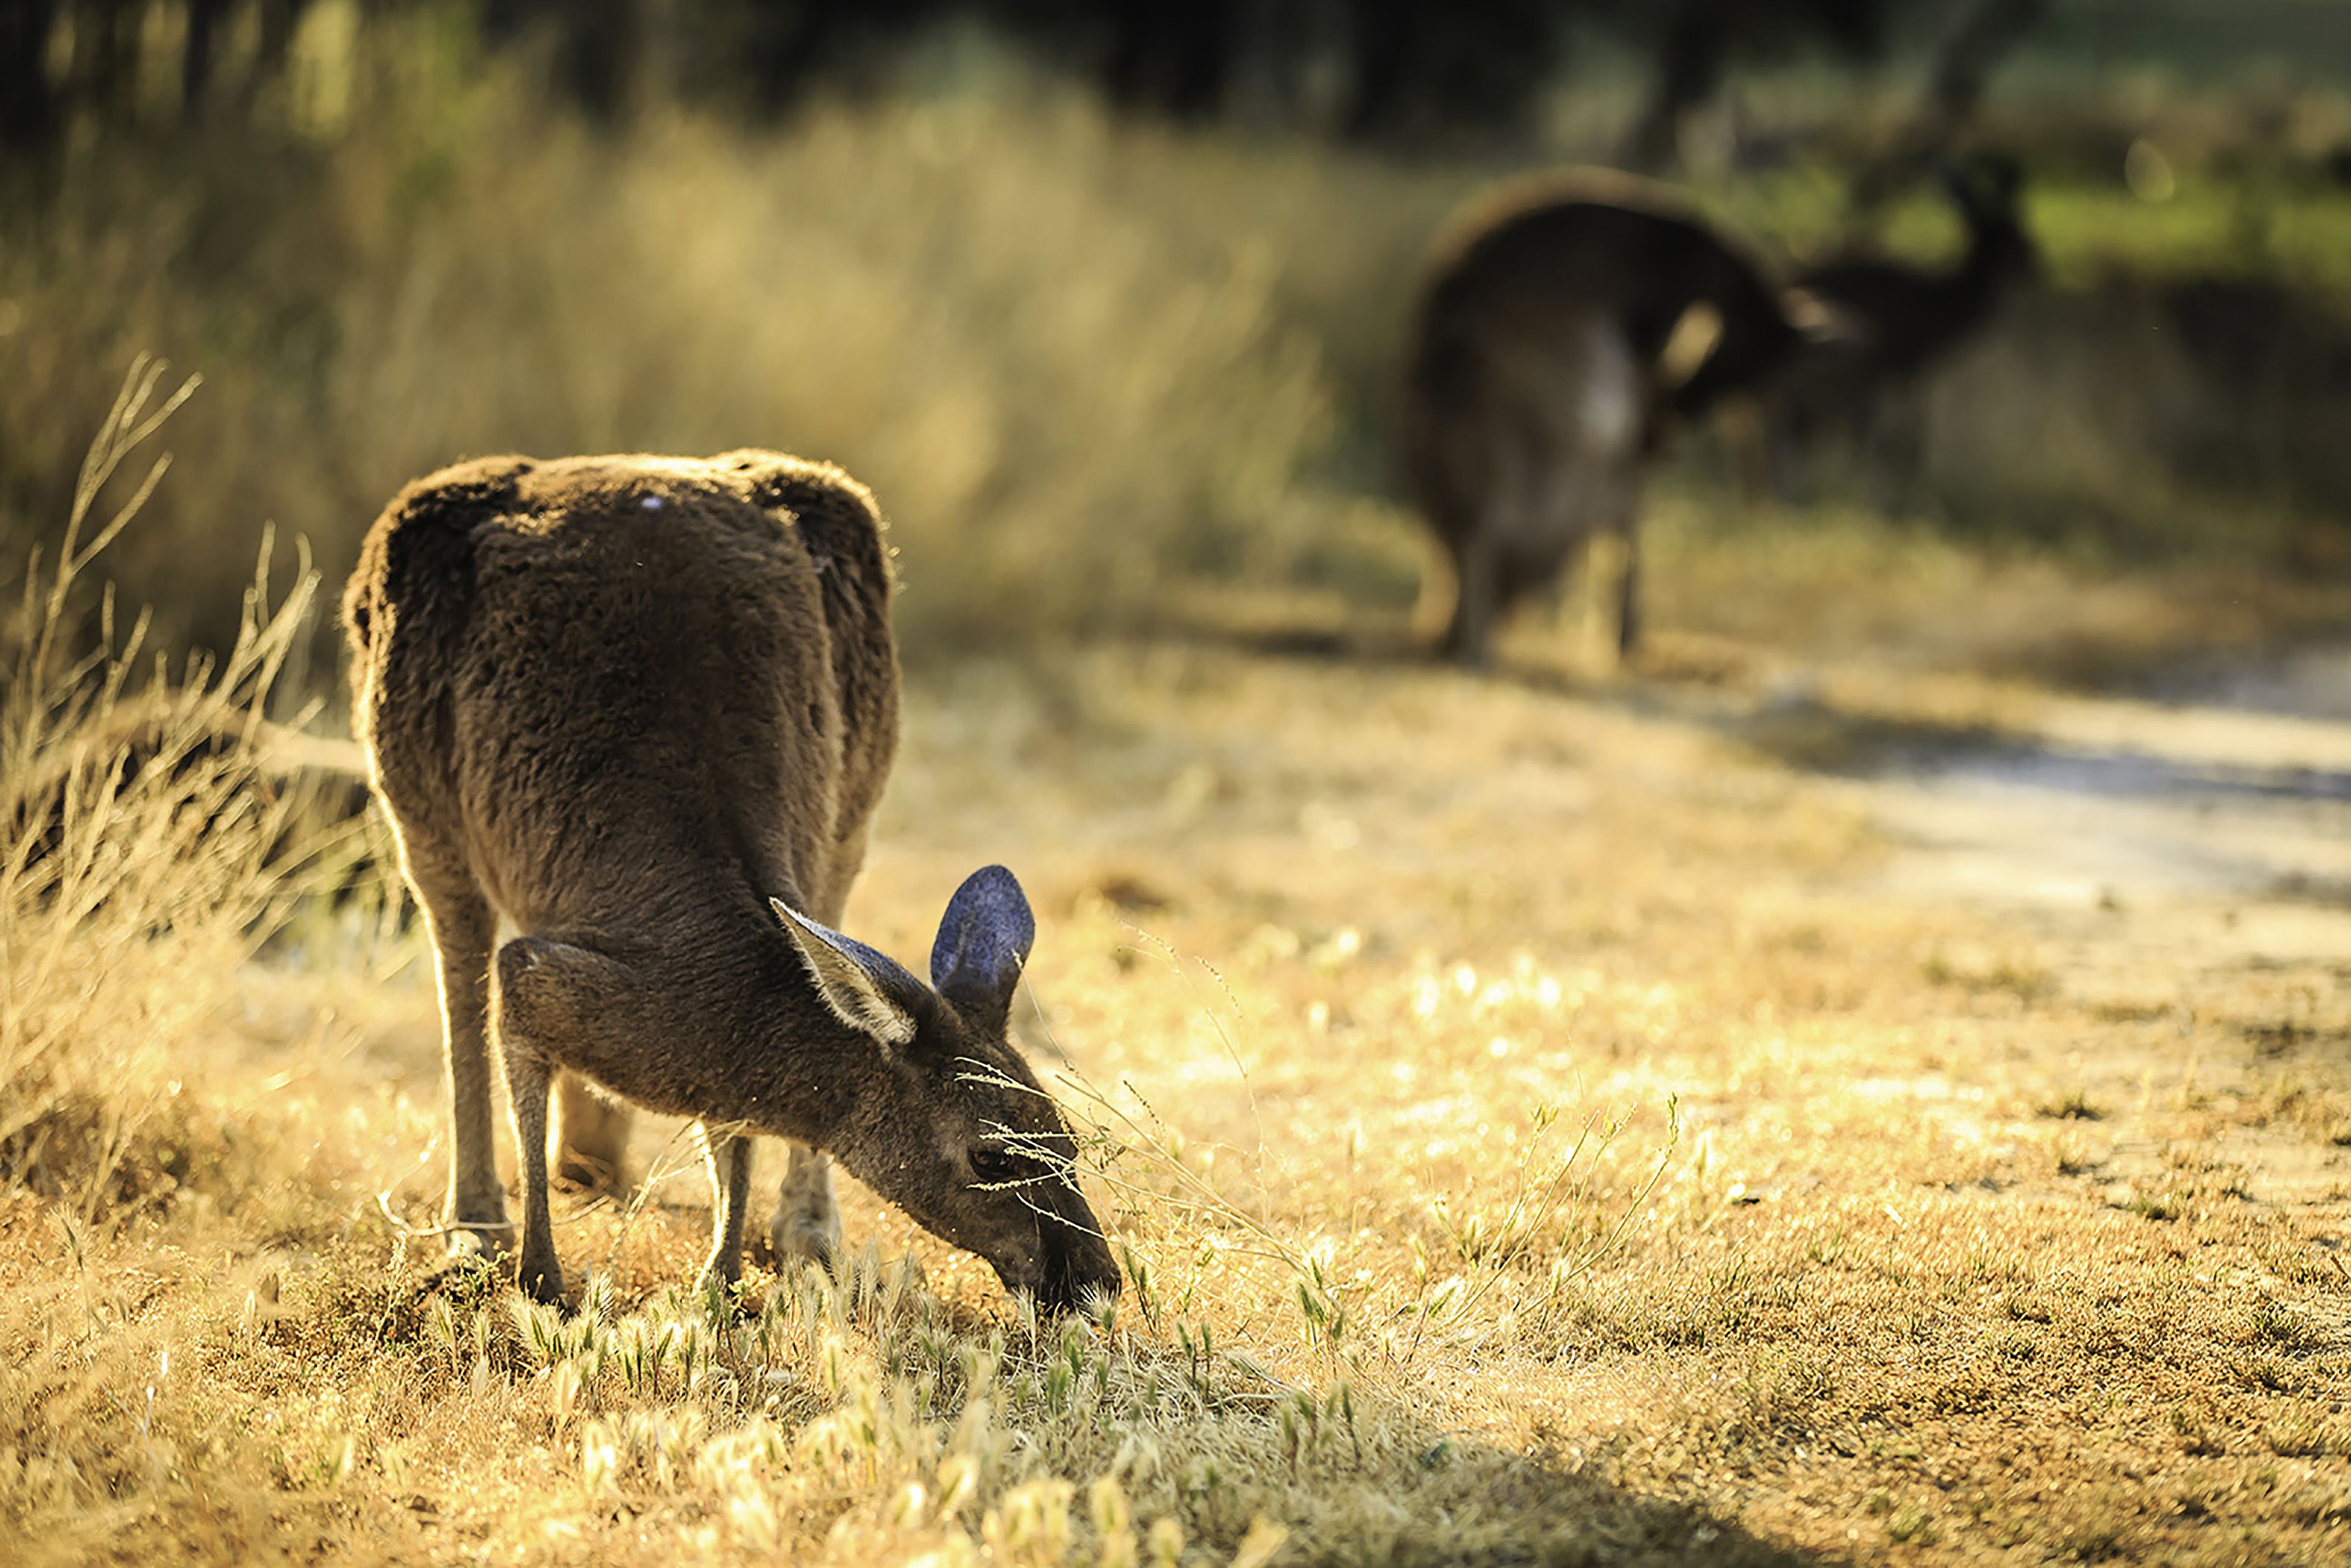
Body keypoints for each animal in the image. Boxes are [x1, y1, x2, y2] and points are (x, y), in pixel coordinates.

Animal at [342, 451, 1121, 1313]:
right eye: (990, 1157)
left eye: (1069, 1143)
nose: (1099, 1282)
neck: (718, 960)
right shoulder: (555, 981)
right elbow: (513, 999)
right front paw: (542, 1283)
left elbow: (735, 1126)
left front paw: (719, 1279)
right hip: (407, 757)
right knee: (459, 954)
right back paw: (478, 1230)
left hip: (856, 767)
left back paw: (795, 1232)